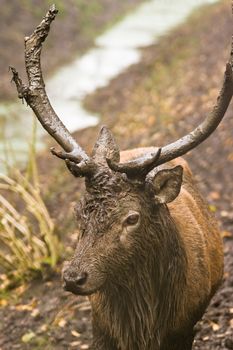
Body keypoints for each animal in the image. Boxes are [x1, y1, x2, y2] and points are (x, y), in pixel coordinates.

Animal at [10, 5, 233, 350]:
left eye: (132, 218)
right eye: (78, 213)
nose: (74, 277)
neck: (145, 327)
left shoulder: (184, 329)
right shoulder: (100, 330)